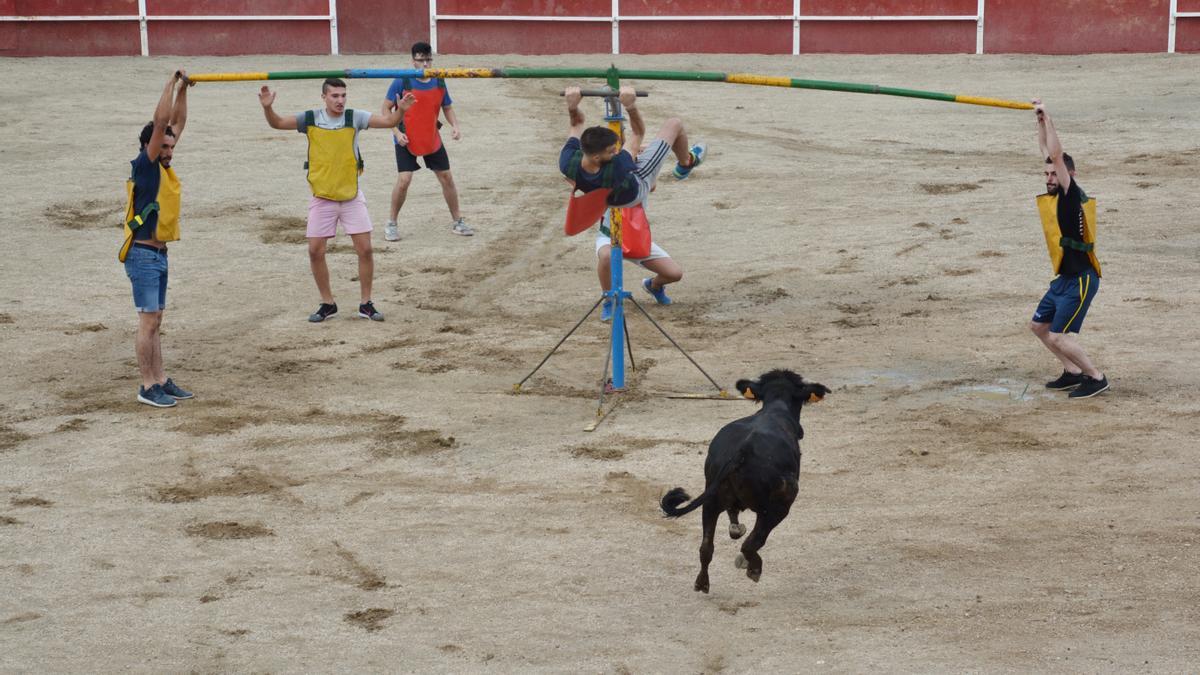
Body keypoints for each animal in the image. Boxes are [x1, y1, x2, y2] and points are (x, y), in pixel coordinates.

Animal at [662, 365, 830, 590]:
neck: (775, 408)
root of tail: (743, 451)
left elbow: (732, 518)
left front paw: (736, 529)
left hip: (711, 500)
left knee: (706, 547)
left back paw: (702, 583)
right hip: (779, 505)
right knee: (751, 543)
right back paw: (752, 568)